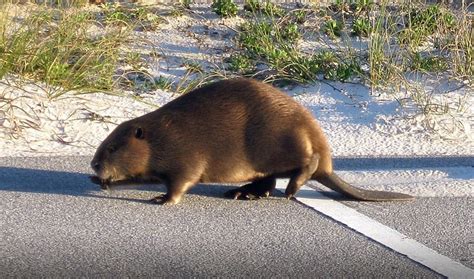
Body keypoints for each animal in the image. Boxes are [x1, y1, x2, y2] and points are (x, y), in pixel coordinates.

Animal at [90, 77, 414, 205]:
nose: (93, 164)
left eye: (112, 147)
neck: (160, 134)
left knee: (306, 162)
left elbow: (182, 181)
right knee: (268, 180)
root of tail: (329, 168)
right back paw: (242, 193)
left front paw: (162, 199)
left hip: (282, 142)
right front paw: (101, 182)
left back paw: (291, 189)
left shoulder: (185, 153)